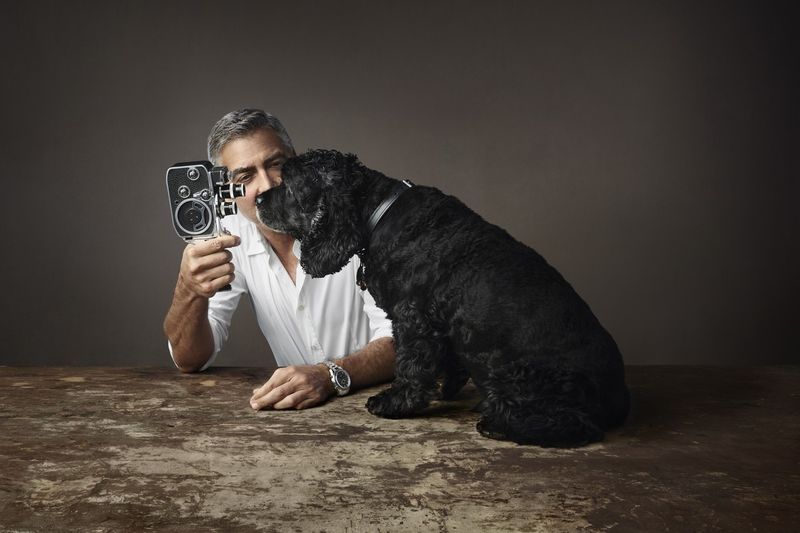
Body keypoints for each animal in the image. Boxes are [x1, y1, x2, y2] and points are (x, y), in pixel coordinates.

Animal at [256, 149, 632, 444]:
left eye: (287, 182)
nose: (257, 199)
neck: (379, 214)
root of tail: (619, 394)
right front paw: (446, 388)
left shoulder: (413, 317)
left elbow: (410, 365)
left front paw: (396, 402)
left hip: (519, 372)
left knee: (579, 425)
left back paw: (499, 422)